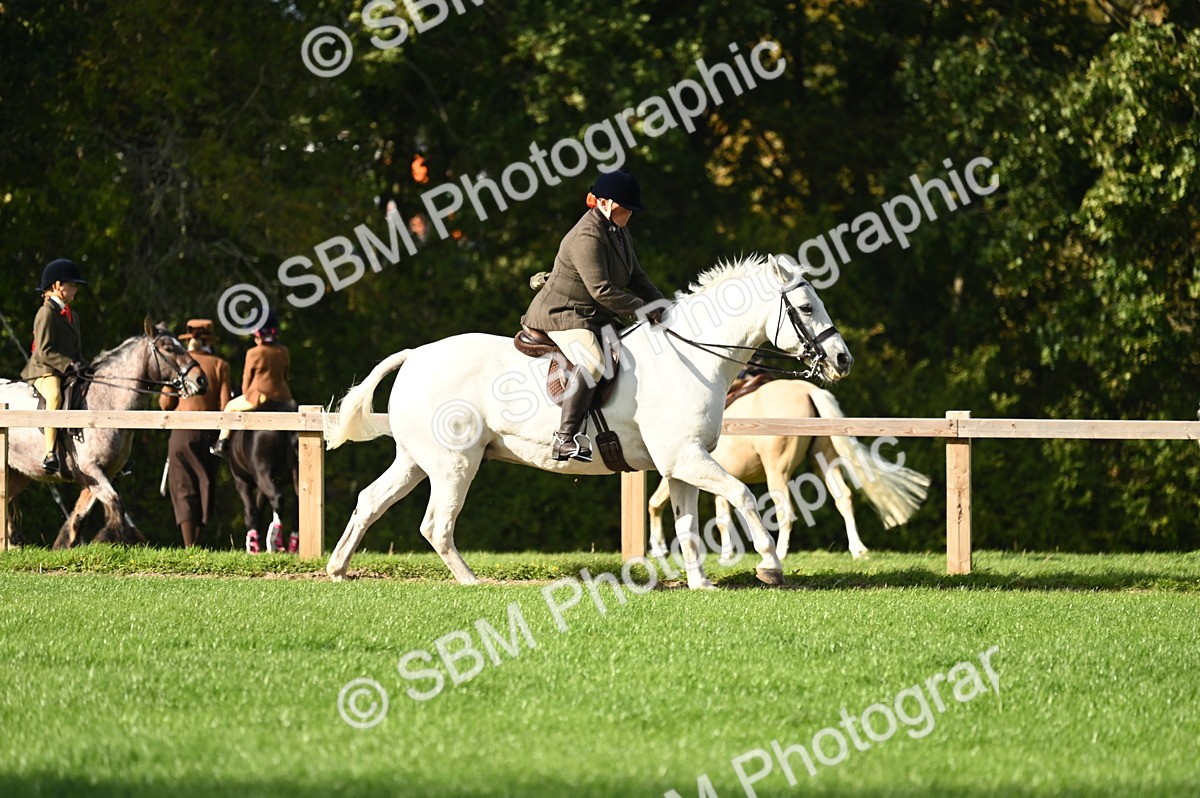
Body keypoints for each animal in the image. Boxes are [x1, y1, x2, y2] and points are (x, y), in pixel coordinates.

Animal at [1, 319, 208, 547]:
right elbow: (115, 503)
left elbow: (81, 515)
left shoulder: (101, 472)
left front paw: (66, 544)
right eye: (168, 348)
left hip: (19, 473)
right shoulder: (91, 469)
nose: (201, 380)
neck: (107, 403)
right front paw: (114, 539)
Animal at [227, 398, 299, 553]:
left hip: (261, 473)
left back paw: (273, 540)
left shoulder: (242, 483)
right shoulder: (261, 487)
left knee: (277, 498)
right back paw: (293, 545)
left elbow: (250, 511)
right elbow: (259, 510)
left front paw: (252, 544)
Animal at [324, 254, 853, 589]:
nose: (842, 360)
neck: (692, 358)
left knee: (370, 501)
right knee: (436, 524)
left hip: (416, 461)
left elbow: (686, 523)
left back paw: (337, 568)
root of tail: (415, 355)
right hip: (454, 464)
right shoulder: (687, 458)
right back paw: (473, 582)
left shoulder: (682, 464)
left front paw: (700, 583)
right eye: (806, 308)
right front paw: (770, 565)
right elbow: (744, 496)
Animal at [647, 379, 931, 561]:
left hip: (778, 472)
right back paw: (858, 549)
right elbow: (723, 518)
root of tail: (809, 390)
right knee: (844, 498)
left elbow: (655, 504)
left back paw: (780, 553)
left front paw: (659, 548)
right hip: (823, 461)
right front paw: (726, 554)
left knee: (787, 511)